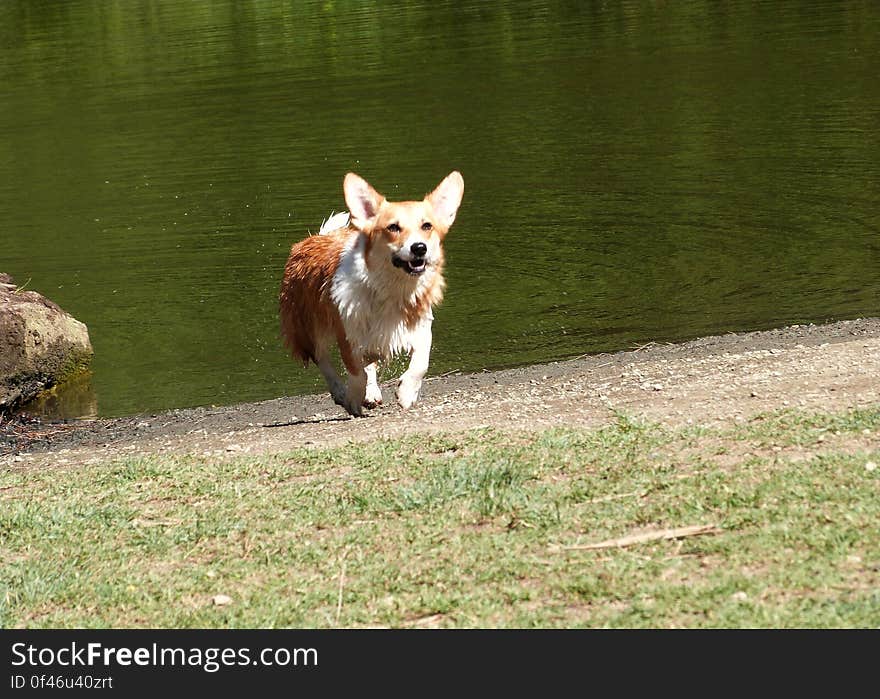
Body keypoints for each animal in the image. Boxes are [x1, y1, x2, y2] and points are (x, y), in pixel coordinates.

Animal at [278, 171, 464, 416]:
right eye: (393, 227)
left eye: (427, 226)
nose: (419, 248)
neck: (392, 288)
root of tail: (316, 237)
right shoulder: (347, 335)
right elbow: (357, 373)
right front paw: (353, 399)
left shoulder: (421, 327)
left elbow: (420, 362)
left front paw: (406, 393)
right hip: (308, 327)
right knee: (323, 359)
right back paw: (340, 391)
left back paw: (372, 393)